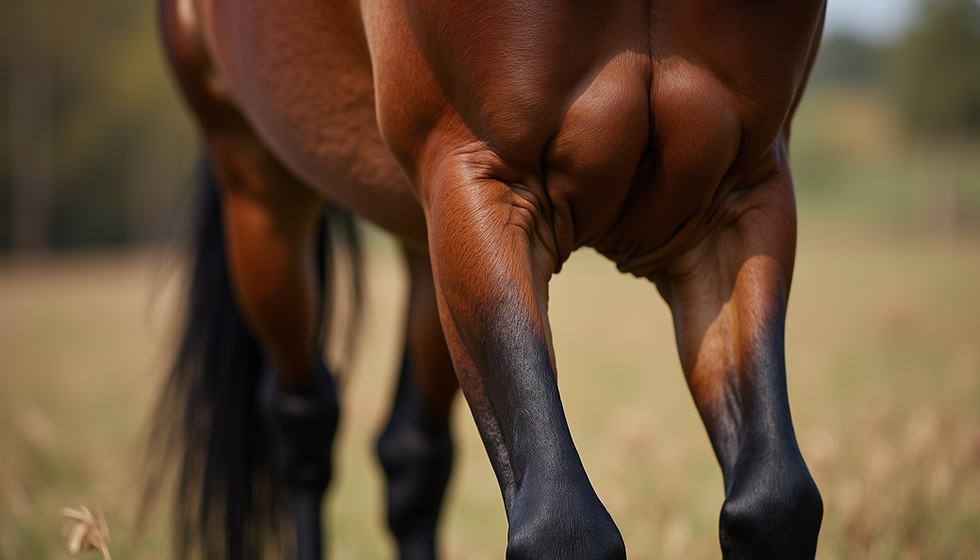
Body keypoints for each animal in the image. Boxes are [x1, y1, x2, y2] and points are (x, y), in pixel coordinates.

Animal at [145, 0, 827, 558]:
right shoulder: (480, 182)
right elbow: (561, 526)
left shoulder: (745, 202)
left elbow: (773, 505)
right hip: (258, 186)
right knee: (302, 424)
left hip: (421, 246)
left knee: (409, 458)